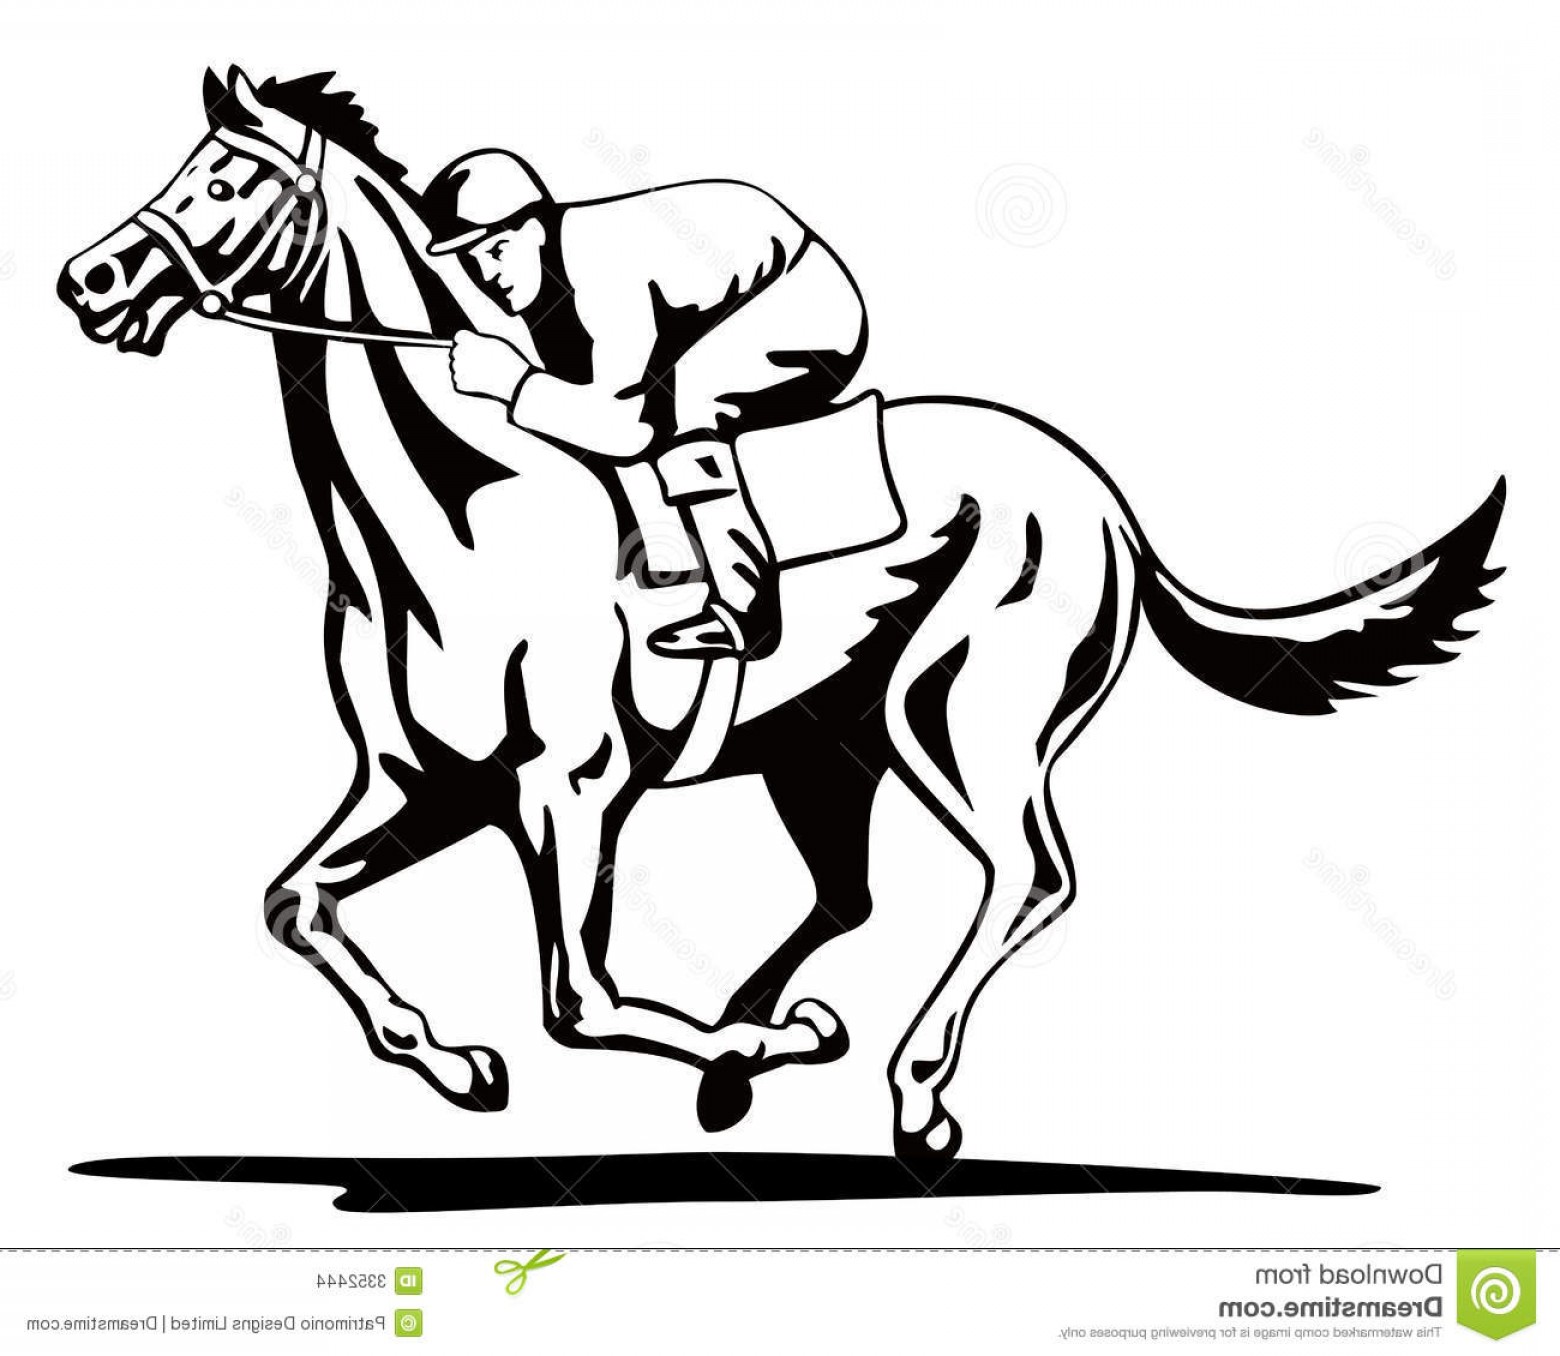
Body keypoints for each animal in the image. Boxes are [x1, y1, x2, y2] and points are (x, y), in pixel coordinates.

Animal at [58, 69, 1503, 1159]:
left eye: (228, 182)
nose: (89, 280)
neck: (458, 508)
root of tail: (1102, 497)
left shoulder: (574, 788)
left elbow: (579, 999)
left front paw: (756, 1041)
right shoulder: (427, 785)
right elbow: (292, 902)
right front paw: (461, 1063)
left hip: (959, 719)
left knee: (1026, 875)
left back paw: (904, 1090)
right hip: (823, 749)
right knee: (851, 897)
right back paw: (749, 1060)